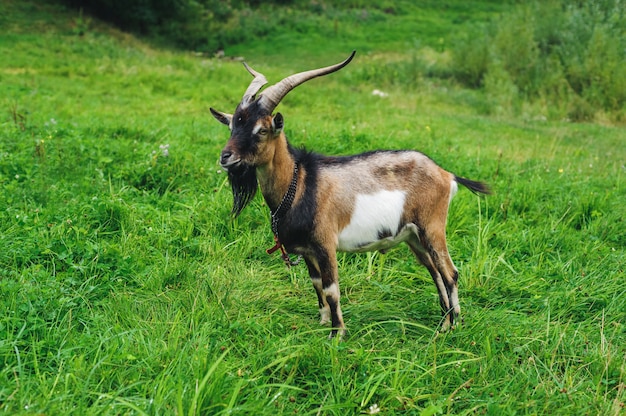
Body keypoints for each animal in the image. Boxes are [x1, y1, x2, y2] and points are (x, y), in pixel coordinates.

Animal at [210, 51, 488, 338]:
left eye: (262, 130)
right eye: (232, 126)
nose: (225, 157)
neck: (300, 184)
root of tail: (446, 175)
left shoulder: (325, 244)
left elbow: (331, 289)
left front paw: (337, 334)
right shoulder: (308, 251)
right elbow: (316, 284)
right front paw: (323, 322)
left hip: (432, 227)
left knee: (449, 272)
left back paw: (454, 325)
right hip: (414, 236)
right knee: (434, 271)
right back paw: (444, 324)